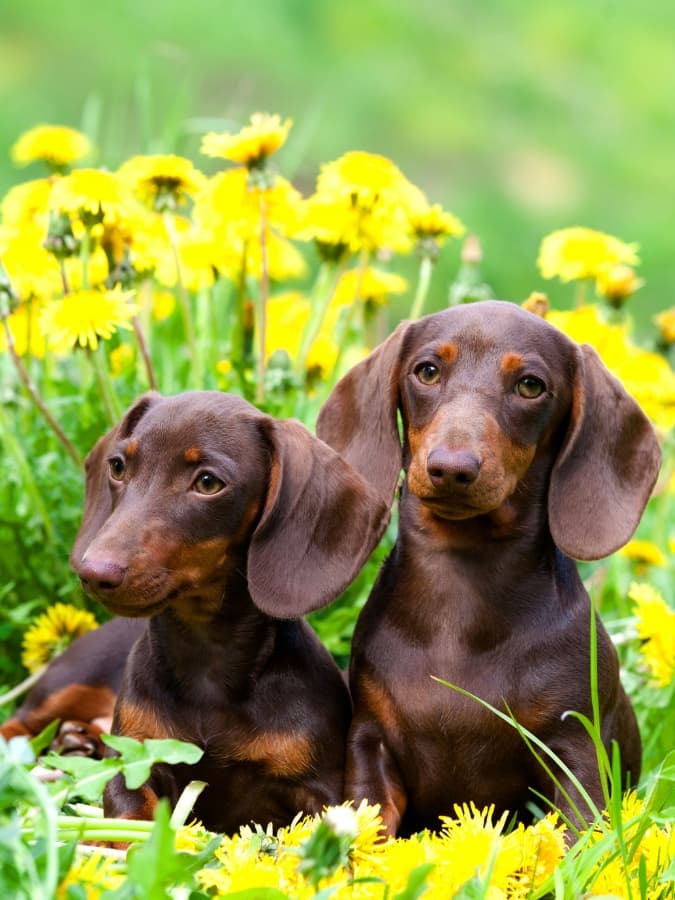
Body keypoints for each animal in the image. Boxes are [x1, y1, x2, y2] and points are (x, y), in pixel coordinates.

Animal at [69, 390, 390, 832]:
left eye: (208, 483)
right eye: (118, 467)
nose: (94, 572)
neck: (207, 662)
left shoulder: (318, 787)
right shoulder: (134, 762)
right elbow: (130, 816)